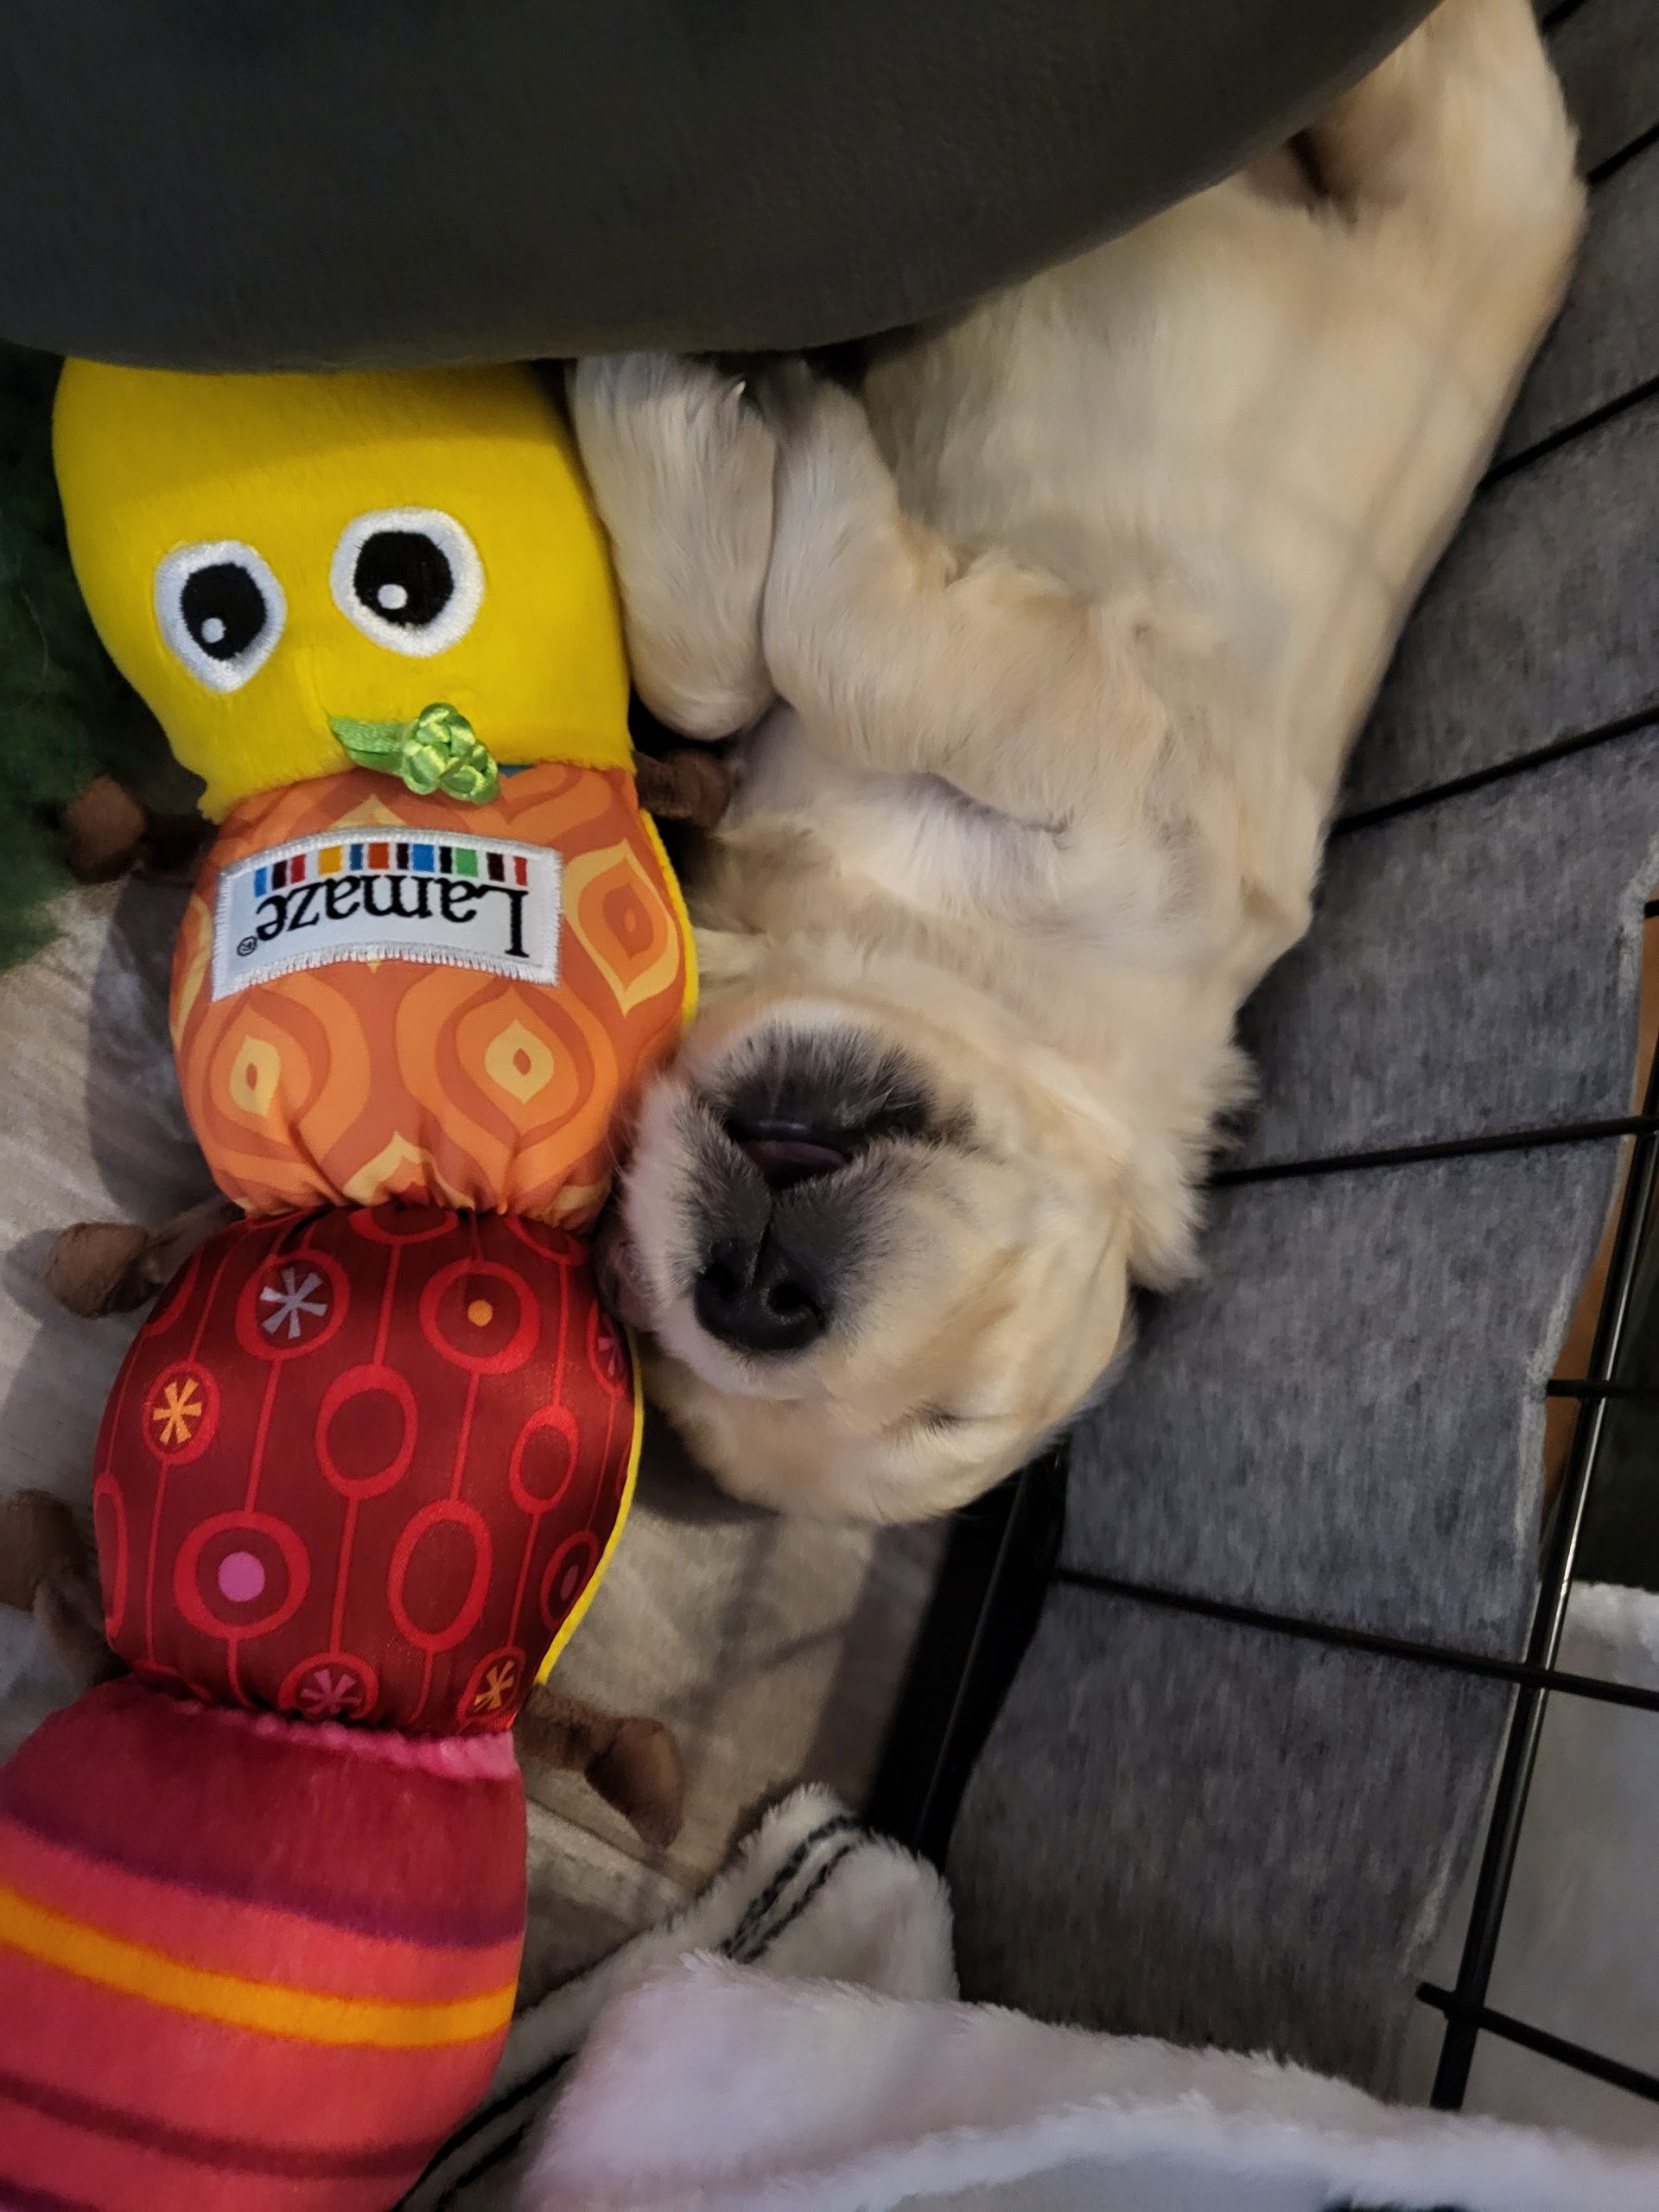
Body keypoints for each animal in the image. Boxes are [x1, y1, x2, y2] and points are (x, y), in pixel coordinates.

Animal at [571, 0, 1584, 1523]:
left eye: (948, 1414)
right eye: (640, 1302)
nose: (757, 1289)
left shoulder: (1114, 756)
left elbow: (844, 639)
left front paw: (693, 409)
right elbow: (725, 670)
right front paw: (697, 421)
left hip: (1463, 150)